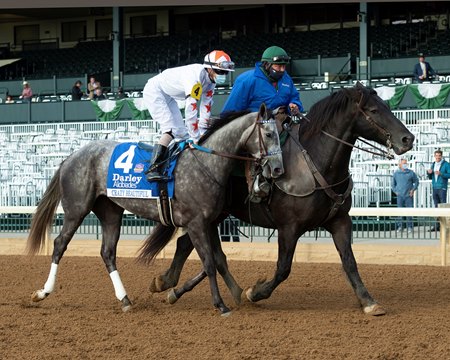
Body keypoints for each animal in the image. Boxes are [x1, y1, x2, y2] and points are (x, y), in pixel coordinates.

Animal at [25, 102, 282, 314]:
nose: (278, 168)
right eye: (269, 134)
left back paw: (125, 300)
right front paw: (220, 304)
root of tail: (70, 157)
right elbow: (209, 263)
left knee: (108, 252)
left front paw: (234, 294)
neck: (206, 164)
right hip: (77, 208)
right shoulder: (196, 223)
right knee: (60, 244)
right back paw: (43, 292)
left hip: (110, 211)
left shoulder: (209, 223)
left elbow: (217, 260)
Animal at [138, 83, 414, 316]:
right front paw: (255, 292)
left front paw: (368, 301)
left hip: (212, 216)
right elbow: (283, 269)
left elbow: (350, 262)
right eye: (374, 110)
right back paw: (170, 284)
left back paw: (170, 286)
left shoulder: (340, 221)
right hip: (209, 216)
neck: (316, 163)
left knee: (188, 245)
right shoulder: (289, 228)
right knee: (191, 246)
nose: (407, 139)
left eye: (388, 106)